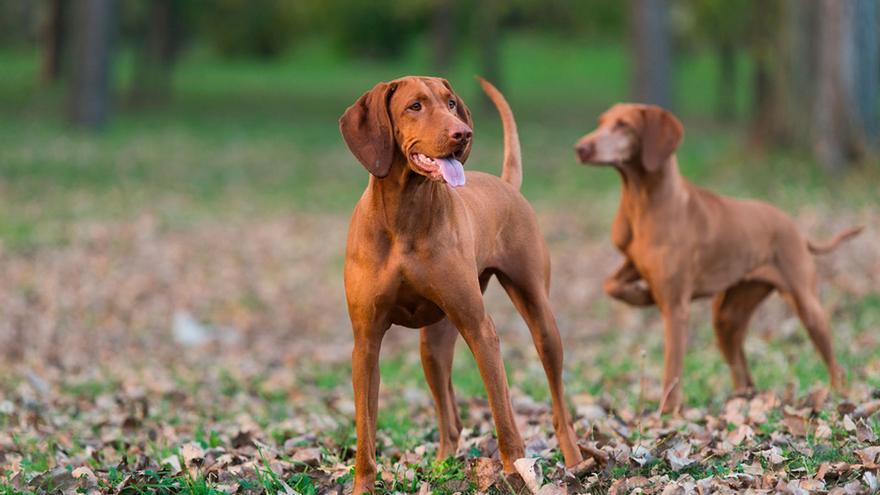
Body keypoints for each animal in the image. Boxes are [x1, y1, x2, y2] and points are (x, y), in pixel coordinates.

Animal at [342, 76, 584, 492]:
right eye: (415, 106)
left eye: (451, 103)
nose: (463, 133)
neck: (404, 217)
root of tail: (506, 184)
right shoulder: (366, 343)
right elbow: (365, 435)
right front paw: (362, 486)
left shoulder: (479, 328)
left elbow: (503, 417)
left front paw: (514, 474)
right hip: (434, 345)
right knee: (451, 419)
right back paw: (442, 467)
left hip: (540, 319)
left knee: (557, 404)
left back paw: (574, 460)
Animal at [576, 103, 864, 414]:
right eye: (601, 122)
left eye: (623, 125)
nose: (581, 148)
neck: (642, 202)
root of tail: (796, 229)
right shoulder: (633, 264)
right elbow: (610, 285)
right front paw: (642, 296)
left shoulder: (676, 309)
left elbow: (672, 368)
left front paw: (668, 413)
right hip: (727, 316)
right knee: (744, 373)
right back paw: (741, 400)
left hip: (807, 307)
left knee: (835, 365)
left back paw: (839, 397)